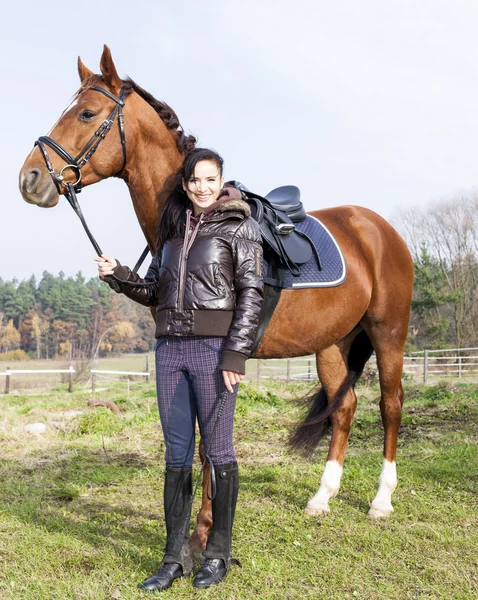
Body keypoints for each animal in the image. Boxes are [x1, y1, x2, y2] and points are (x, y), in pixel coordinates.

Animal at [18, 47, 414, 552]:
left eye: (86, 113)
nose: (29, 178)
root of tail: (380, 228)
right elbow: (200, 442)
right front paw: (197, 532)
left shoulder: (219, 362)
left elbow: (211, 441)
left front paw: (205, 533)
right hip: (333, 343)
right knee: (344, 409)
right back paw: (322, 498)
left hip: (388, 333)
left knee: (390, 405)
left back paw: (381, 501)